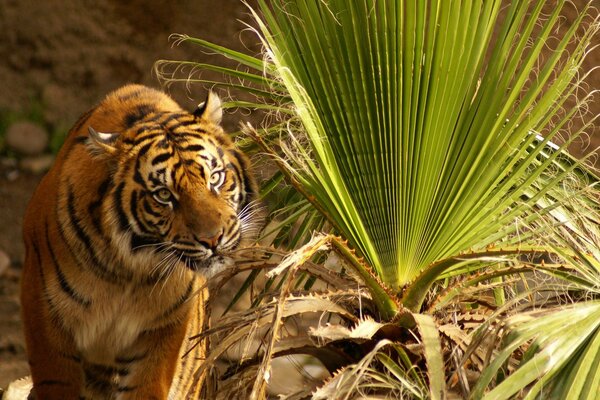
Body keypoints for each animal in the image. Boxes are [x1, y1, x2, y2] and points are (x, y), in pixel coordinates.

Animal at [19, 83, 255, 398]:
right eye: (164, 195)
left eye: (215, 178)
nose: (213, 239)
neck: (129, 271)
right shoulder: (46, 314)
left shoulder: (165, 329)